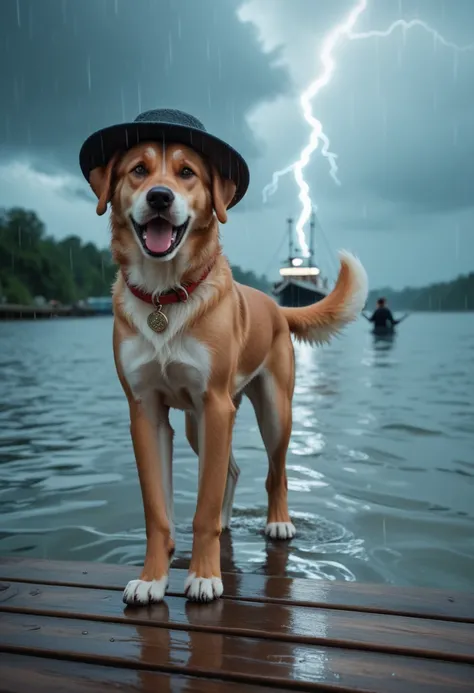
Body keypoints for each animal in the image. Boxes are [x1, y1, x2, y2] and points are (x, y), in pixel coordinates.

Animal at [88, 139, 370, 600]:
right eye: (138, 170)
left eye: (186, 172)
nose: (160, 197)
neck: (165, 295)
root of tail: (276, 306)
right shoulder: (146, 411)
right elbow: (158, 509)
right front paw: (152, 579)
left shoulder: (215, 404)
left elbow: (203, 506)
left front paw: (204, 575)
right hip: (197, 423)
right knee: (230, 470)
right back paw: (226, 520)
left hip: (272, 411)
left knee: (277, 474)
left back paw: (278, 522)